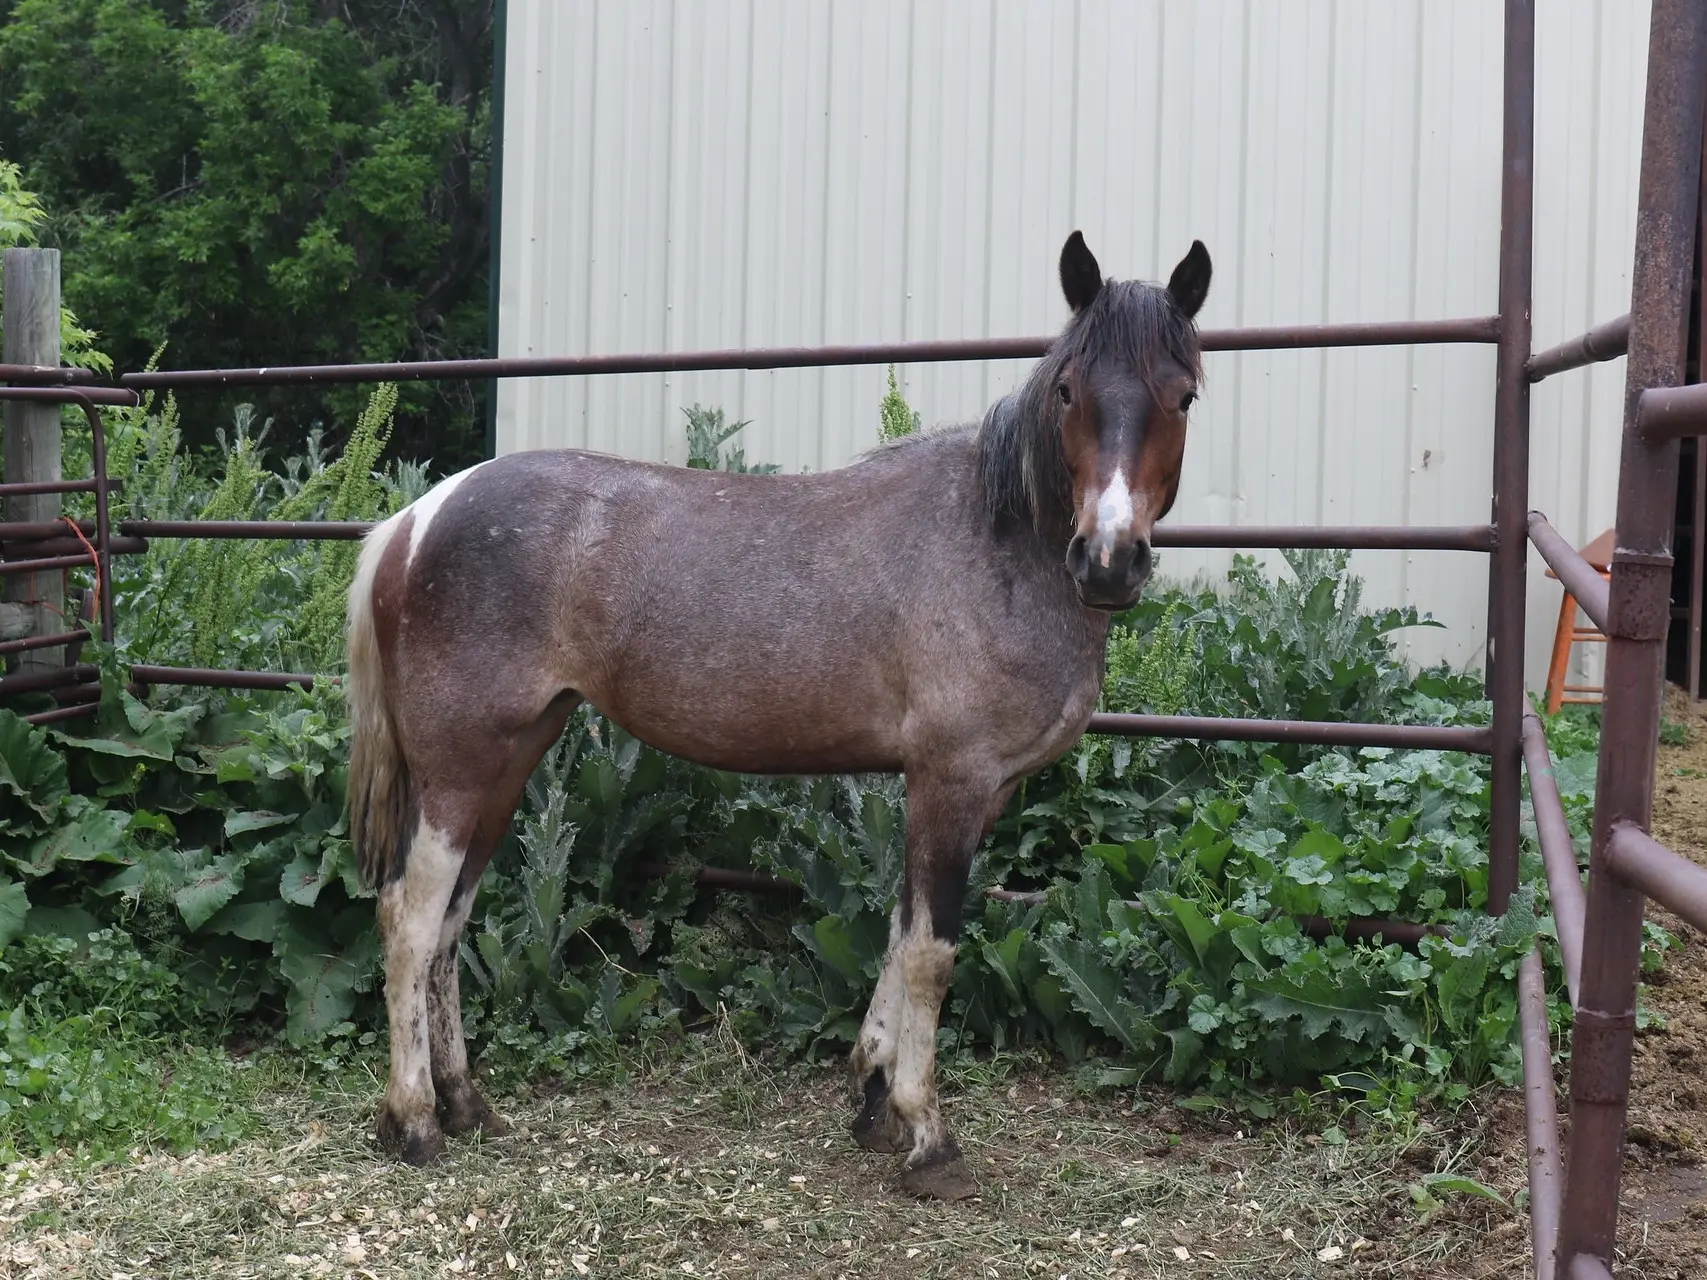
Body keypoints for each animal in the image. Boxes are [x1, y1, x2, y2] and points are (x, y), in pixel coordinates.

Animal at [339, 233, 1208, 1201]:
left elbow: (900, 933)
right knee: (409, 921)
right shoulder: (951, 782)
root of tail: (420, 516)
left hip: (508, 760)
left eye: (1182, 395)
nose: (1108, 561)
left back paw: (465, 1105)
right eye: (1067, 391)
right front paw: (927, 1135)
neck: (998, 543)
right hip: (459, 772)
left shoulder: (961, 795)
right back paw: (414, 1122)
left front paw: (872, 1099)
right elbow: (931, 952)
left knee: (450, 924)